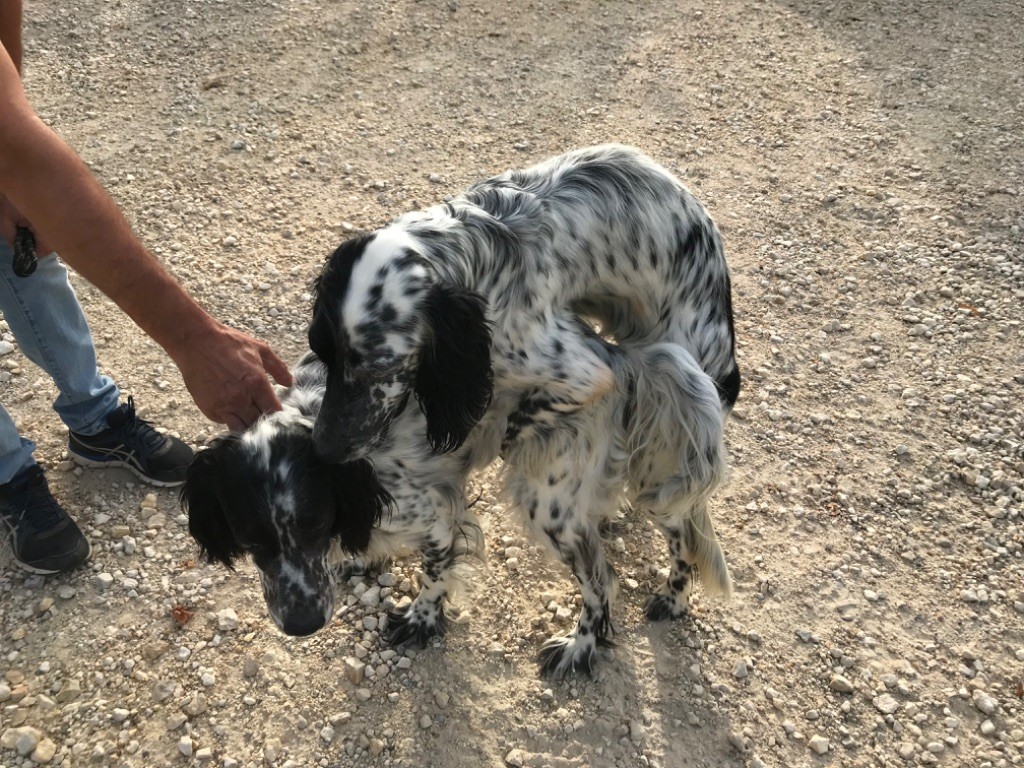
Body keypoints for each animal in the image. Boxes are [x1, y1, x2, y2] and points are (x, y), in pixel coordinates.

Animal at [180, 354, 483, 643]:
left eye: (317, 525)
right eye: (248, 540)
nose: (303, 625)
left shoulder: (434, 522)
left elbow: (435, 576)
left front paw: (420, 620)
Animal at [307, 144, 741, 671]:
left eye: (377, 368)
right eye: (322, 353)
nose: (322, 448)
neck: (468, 251)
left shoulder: (580, 370)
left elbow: (520, 419)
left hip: (666, 442)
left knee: (676, 537)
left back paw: (647, 610)